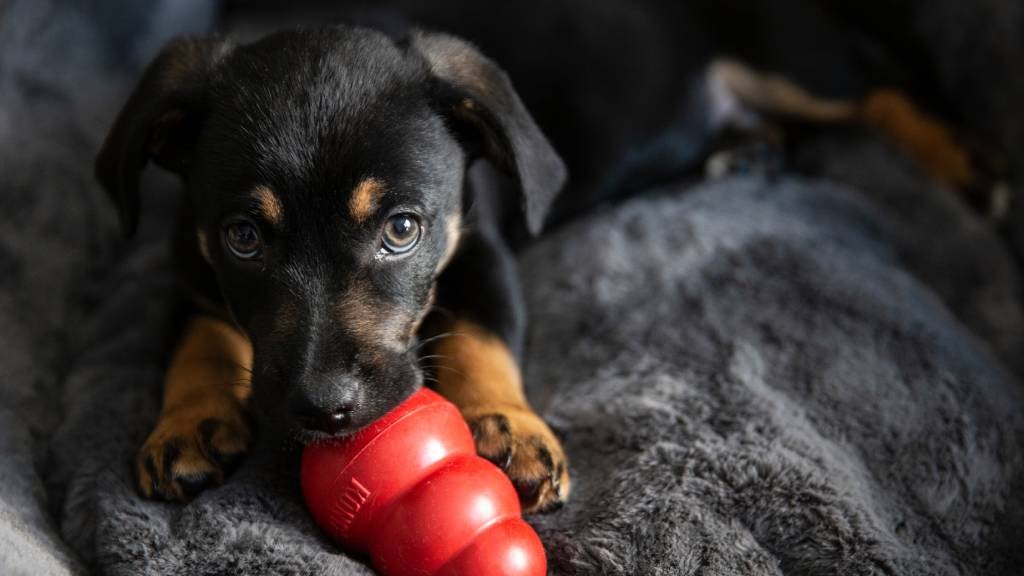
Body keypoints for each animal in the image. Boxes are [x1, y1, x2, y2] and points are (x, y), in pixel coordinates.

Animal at [95, 25, 569, 510]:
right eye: (243, 237)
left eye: (401, 229)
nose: (324, 407)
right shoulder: (191, 270)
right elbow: (199, 341)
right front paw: (188, 423)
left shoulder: (483, 253)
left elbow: (481, 335)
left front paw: (508, 423)